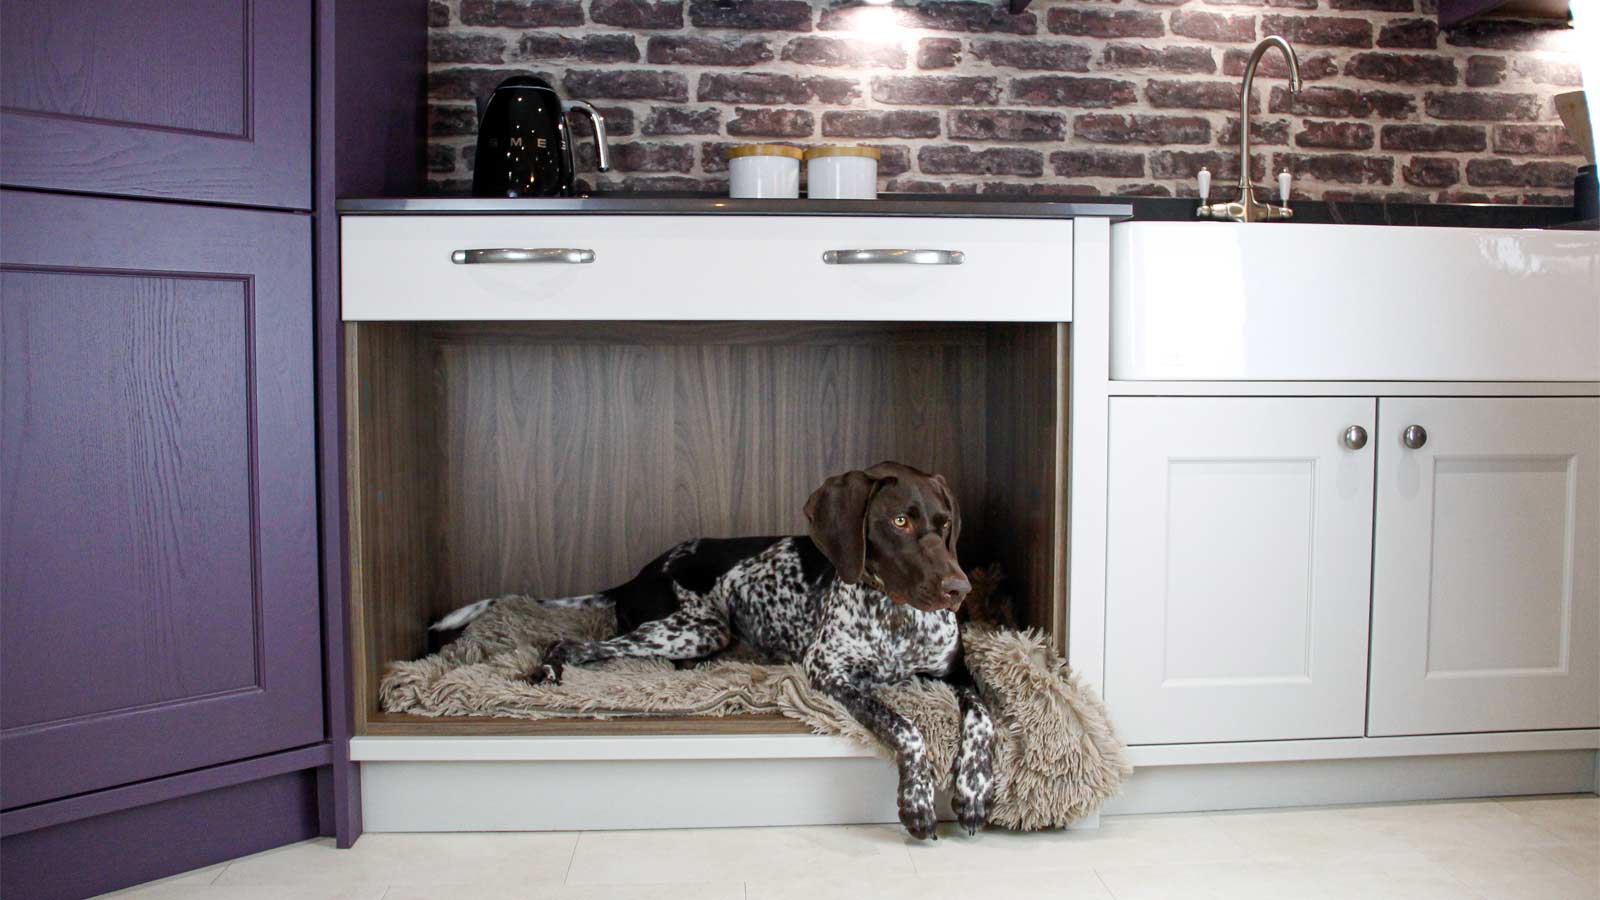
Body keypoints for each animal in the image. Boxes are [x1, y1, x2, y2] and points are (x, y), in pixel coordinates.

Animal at [432, 458, 992, 839]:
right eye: (900, 522)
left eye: (945, 525)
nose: (959, 589)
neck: (898, 617)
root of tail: (636, 574)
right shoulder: (829, 674)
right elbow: (906, 725)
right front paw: (917, 801)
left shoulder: (956, 672)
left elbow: (983, 713)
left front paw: (974, 790)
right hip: (697, 625)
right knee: (571, 643)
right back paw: (549, 673)